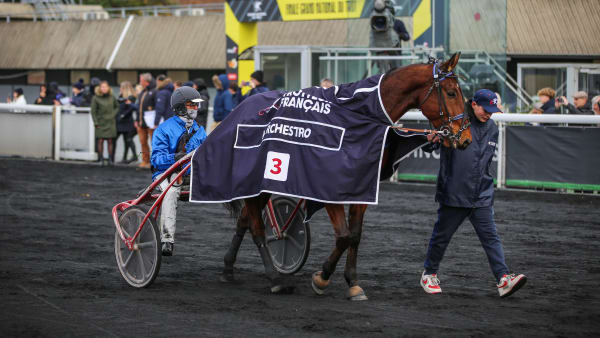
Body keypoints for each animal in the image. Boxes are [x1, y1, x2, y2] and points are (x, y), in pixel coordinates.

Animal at [218, 51, 472, 300]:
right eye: (451, 92)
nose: (466, 138)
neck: (359, 119)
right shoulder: (328, 187)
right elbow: (343, 236)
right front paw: (322, 278)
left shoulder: (361, 184)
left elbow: (355, 235)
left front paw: (352, 283)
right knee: (257, 228)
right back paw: (275, 279)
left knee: (245, 221)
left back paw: (229, 268)